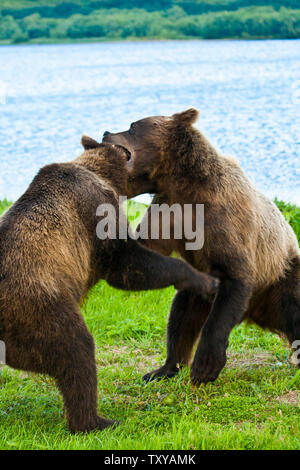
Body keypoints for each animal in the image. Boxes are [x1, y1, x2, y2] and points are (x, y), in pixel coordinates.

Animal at [0, 137, 217, 434]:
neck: (102, 175)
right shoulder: (94, 211)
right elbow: (126, 263)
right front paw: (203, 280)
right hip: (39, 308)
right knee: (76, 351)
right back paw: (97, 421)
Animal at [102, 109, 300, 386]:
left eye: (132, 126)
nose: (105, 132)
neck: (183, 186)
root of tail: (254, 313)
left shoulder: (225, 219)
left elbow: (235, 273)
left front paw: (205, 366)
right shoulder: (168, 213)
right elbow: (144, 252)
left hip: (279, 277)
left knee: (293, 305)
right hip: (200, 292)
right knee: (180, 317)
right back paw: (164, 368)